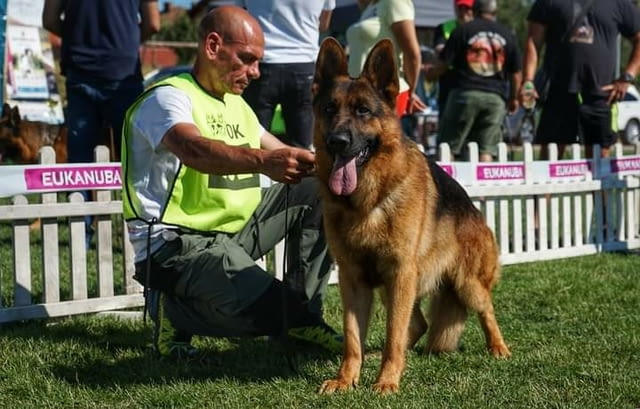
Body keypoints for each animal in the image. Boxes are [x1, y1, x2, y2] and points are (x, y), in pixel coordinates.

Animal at [310, 37, 510, 392]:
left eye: (363, 111)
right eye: (329, 109)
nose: (337, 142)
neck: (368, 202)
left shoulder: (401, 273)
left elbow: (393, 333)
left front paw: (387, 382)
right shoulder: (353, 280)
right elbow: (352, 337)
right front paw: (346, 379)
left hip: (465, 283)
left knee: (485, 309)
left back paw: (498, 347)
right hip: (395, 287)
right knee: (417, 323)